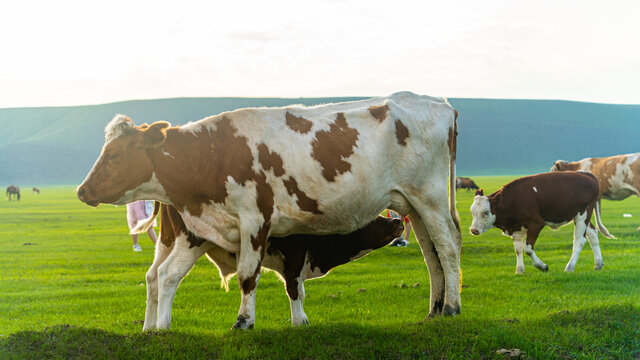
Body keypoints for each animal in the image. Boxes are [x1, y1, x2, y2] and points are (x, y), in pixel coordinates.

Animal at [145, 201, 404, 330]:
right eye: (375, 218)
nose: (398, 221)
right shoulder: (295, 258)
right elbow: (295, 290)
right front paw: (300, 322)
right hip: (192, 241)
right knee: (168, 275)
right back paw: (163, 325)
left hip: (166, 241)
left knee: (152, 276)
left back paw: (149, 327)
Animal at [470, 172, 616, 272]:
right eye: (472, 211)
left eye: (485, 212)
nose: (473, 230)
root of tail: (587, 174)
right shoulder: (516, 227)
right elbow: (518, 249)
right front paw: (519, 270)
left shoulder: (536, 224)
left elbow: (528, 248)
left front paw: (542, 266)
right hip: (582, 216)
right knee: (593, 233)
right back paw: (598, 263)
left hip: (583, 214)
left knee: (579, 240)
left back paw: (569, 267)